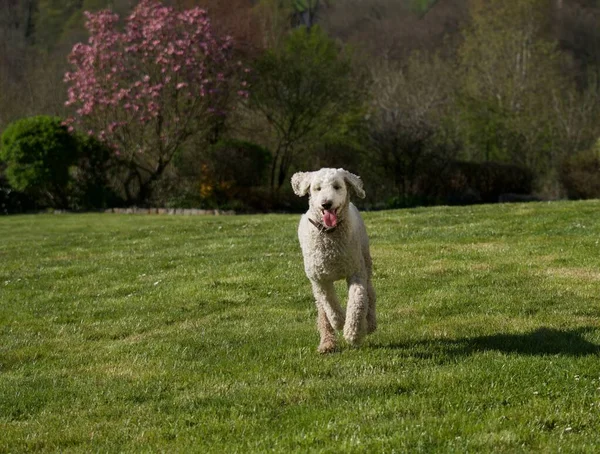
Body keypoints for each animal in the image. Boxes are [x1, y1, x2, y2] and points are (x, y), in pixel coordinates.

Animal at [290, 168, 376, 352]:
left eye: (337, 186)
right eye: (317, 188)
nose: (326, 204)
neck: (330, 234)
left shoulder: (356, 272)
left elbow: (357, 300)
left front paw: (353, 333)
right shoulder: (319, 279)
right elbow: (329, 303)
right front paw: (339, 321)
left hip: (366, 260)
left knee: (370, 293)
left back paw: (370, 323)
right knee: (322, 310)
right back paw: (327, 343)